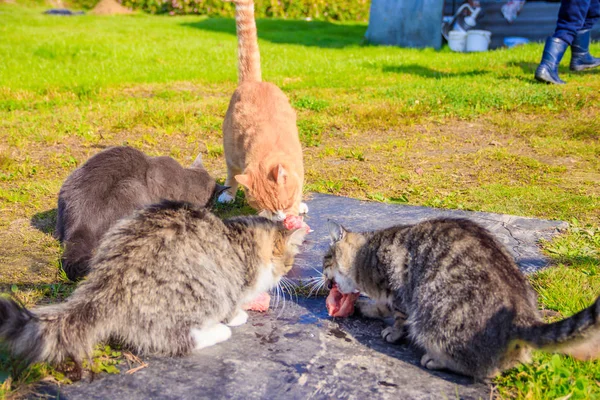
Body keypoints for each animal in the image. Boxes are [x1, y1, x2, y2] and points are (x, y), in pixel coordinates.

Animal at [0, 200, 308, 372]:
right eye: (289, 261)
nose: (286, 275)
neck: (241, 236)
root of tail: (111, 280)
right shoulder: (234, 282)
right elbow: (233, 306)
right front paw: (237, 316)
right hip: (200, 292)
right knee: (175, 339)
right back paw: (217, 332)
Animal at [218, 0, 308, 222]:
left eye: (284, 205)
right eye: (267, 209)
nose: (281, 218)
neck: (270, 150)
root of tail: (253, 82)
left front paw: (297, 208)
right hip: (230, 150)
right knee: (231, 174)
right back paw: (228, 194)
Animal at [324, 217, 600, 380]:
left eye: (325, 260)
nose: (323, 279)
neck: (365, 254)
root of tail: (522, 316)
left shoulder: (398, 291)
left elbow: (398, 315)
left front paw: (393, 331)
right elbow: (381, 307)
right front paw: (366, 306)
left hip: (435, 315)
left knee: (479, 368)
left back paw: (435, 360)